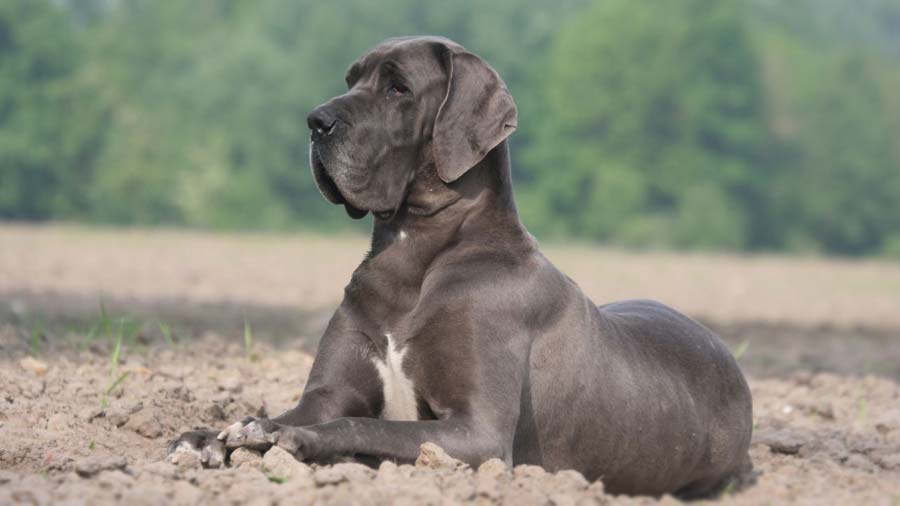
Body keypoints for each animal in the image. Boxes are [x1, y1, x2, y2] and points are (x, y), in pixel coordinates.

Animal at [167, 36, 752, 498]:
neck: (414, 255)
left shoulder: (477, 434)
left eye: (398, 88)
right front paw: (210, 435)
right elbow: (301, 408)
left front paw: (299, 440)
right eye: (352, 79)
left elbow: (365, 426)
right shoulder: (327, 392)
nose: (315, 121)